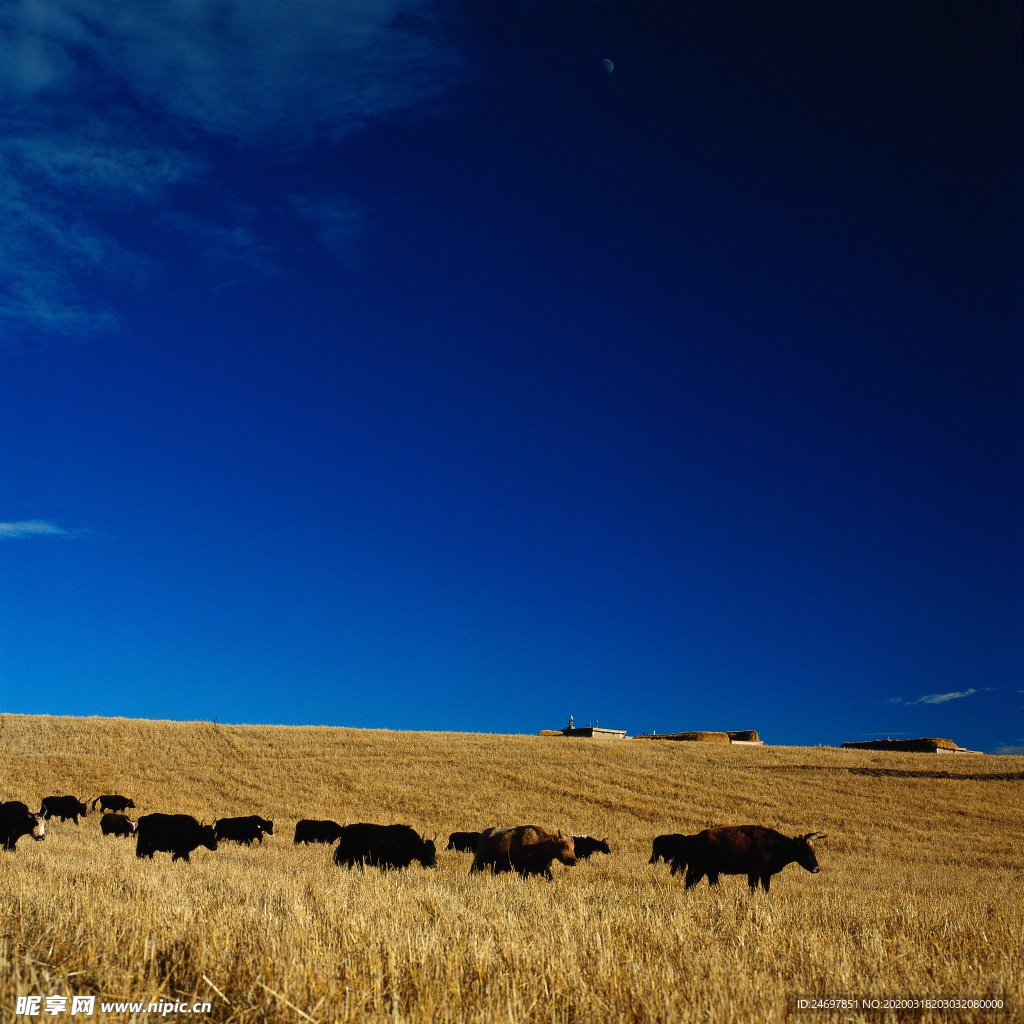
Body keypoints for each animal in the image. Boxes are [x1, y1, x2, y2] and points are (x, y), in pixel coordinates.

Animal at [671, 819, 823, 892]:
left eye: (813, 850)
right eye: (805, 850)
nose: (817, 869)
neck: (774, 845)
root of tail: (694, 838)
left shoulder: (765, 874)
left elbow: (766, 890)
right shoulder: (754, 873)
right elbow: (753, 890)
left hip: (709, 870)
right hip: (700, 868)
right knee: (691, 883)